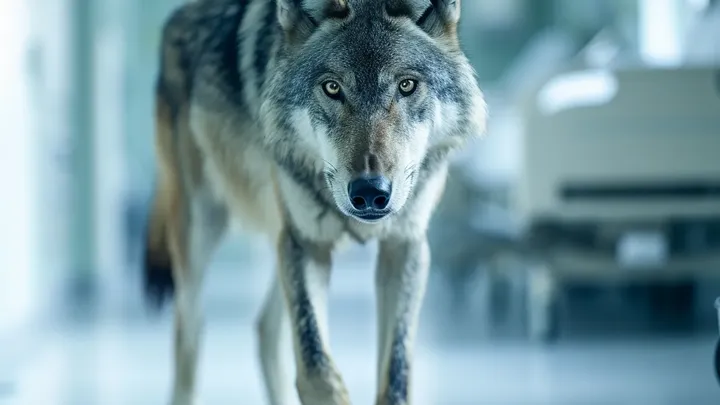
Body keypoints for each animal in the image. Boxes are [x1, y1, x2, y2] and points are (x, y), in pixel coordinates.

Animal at [142, 0, 486, 404]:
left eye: (406, 85)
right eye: (332, 88)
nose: (370, 192)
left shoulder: (404, 246)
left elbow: (395, 378)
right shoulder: (307, 244)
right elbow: (315, 371)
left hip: (280, 237)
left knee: (265, 328)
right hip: (203, 229)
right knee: (189, 332)